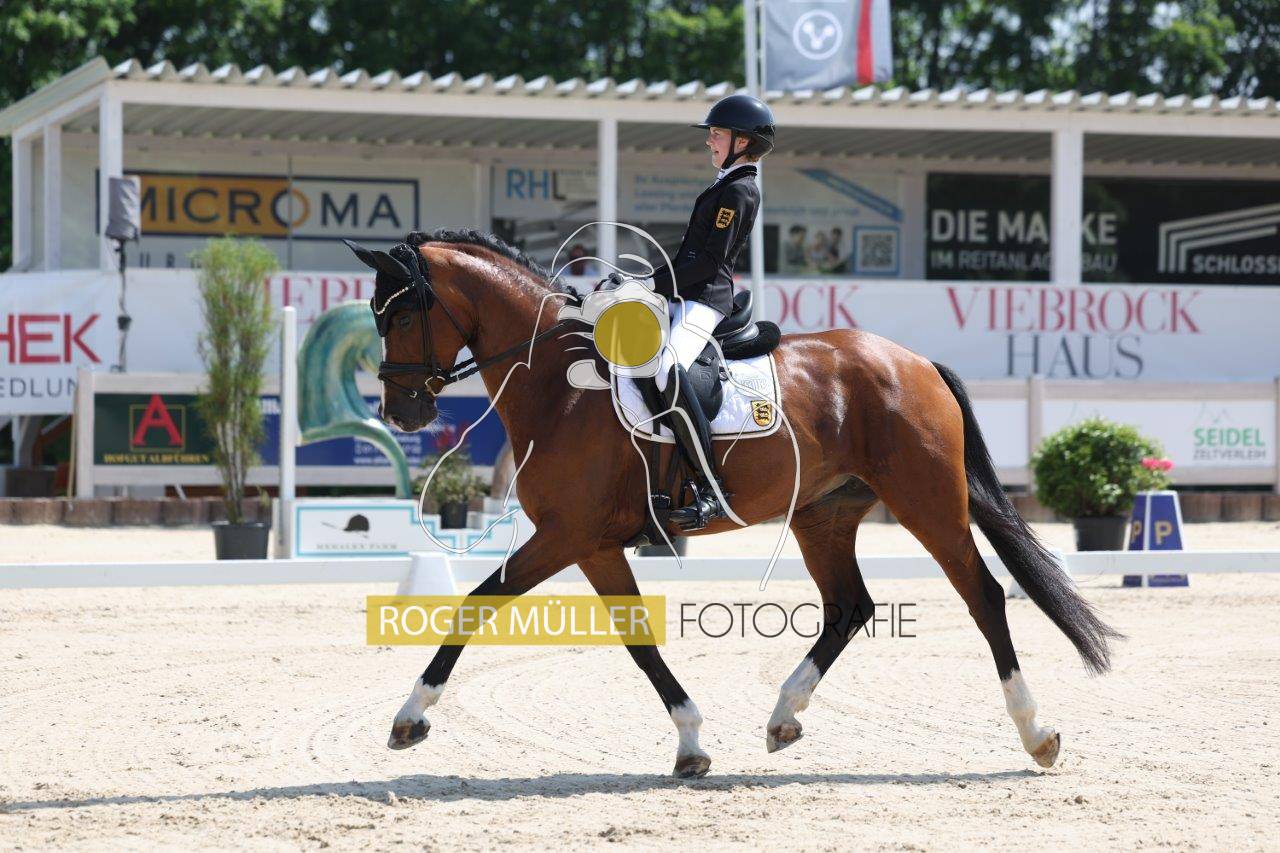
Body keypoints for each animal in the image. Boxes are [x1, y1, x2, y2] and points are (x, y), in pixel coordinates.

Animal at [346, 229, 1120, 779]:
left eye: (402, 312)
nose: (402, 411)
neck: (560, 390)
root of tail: (915, 362)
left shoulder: (567, 535)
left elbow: (475, 602)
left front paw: (410, 717)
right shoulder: (592, 544)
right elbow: (637, 638)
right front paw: (690, 743)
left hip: (926, 501)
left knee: (983, 594)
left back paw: (1037, 734)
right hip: (824, 513)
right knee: (849, 606)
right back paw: (784, 716)